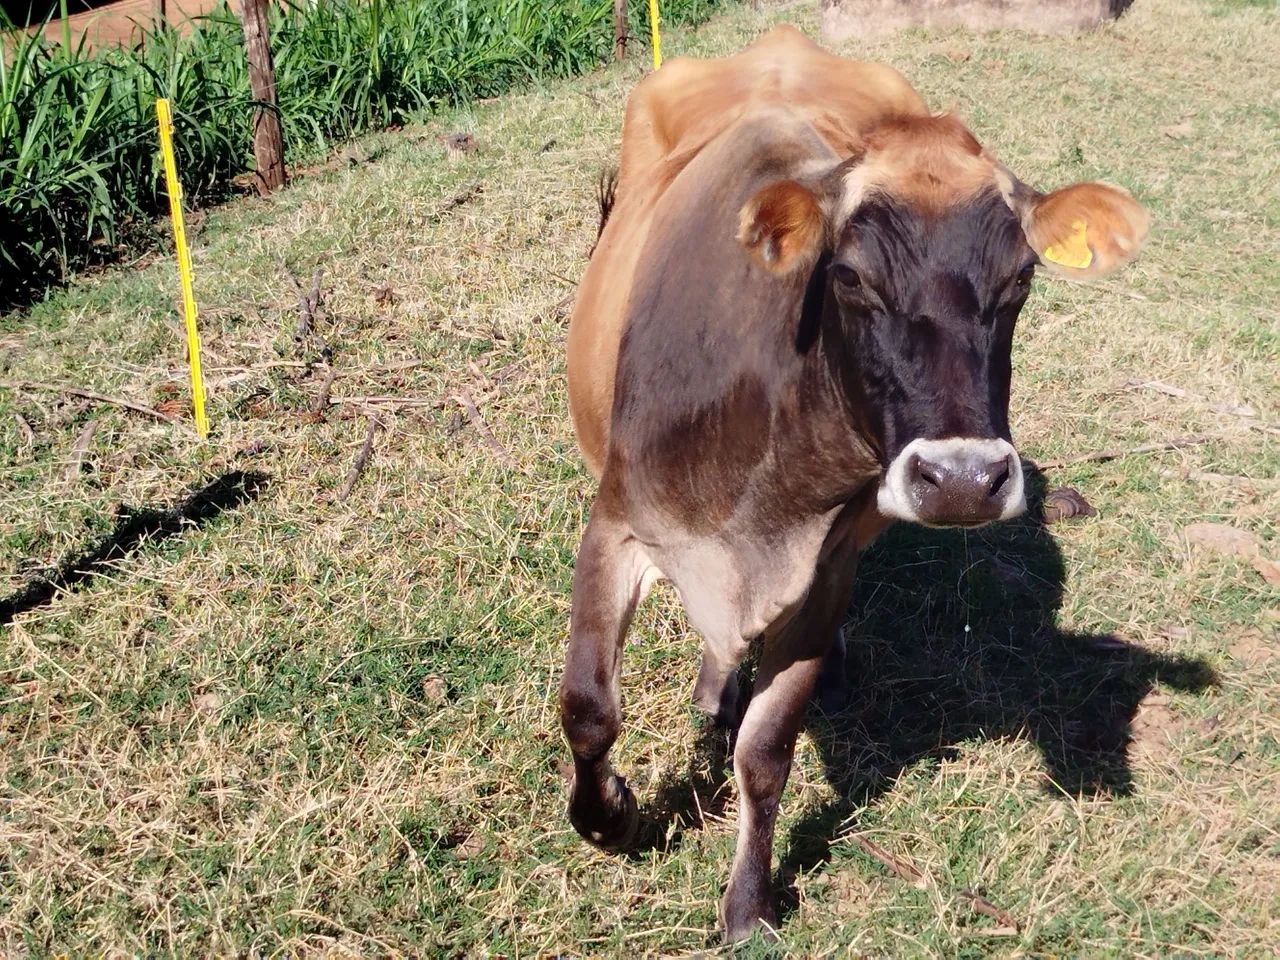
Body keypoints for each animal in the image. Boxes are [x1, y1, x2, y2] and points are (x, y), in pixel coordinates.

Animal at [559, 24, 1148, 941]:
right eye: (852, 277)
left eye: (1020, 280)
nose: (962, 479)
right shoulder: (617, 519)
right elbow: (589, 708)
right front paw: (612, 817)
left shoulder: (826, 567)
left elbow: (767, 750)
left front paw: (748, 904)